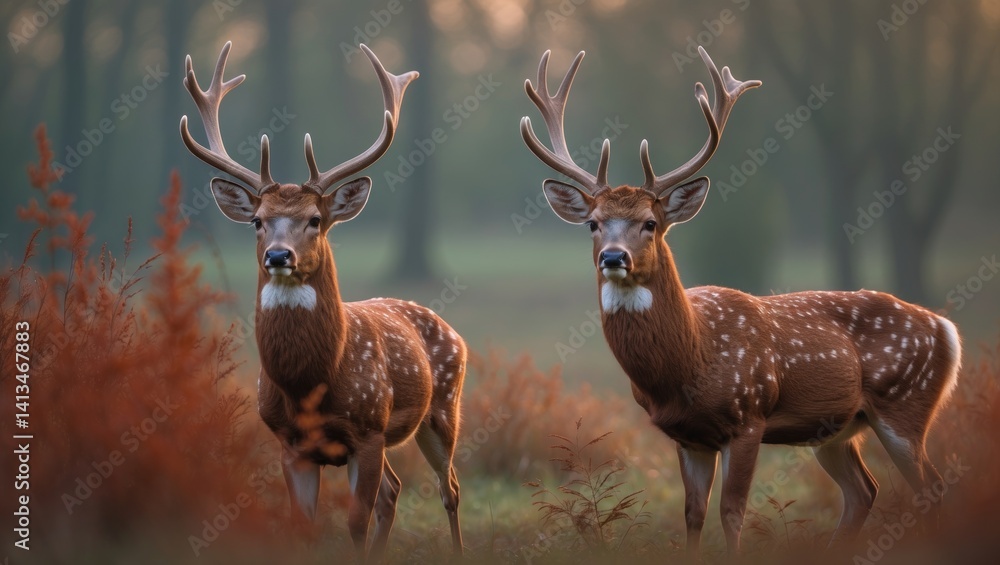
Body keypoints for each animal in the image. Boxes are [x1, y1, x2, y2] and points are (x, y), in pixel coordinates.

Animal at [180, 42, 466, 561]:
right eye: (257, 220)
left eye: (315, 219)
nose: (278, 255)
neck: (312, 383)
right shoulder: (290, 444)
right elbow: (303, 527)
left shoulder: (368, 431)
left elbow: (354, 522)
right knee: (395, 492)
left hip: (442, 411)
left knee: (448, 487)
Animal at [521, 46, 962, 554]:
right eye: (593, 223)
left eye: (650, 223)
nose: (614, 257)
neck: (692, 360)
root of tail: (946, 329)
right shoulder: (688, 437)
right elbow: (693, 515)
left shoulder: (749, 415)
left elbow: (732, 514)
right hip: (838, 429)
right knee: (864, 491)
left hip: (905, 404)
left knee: (932, 488)